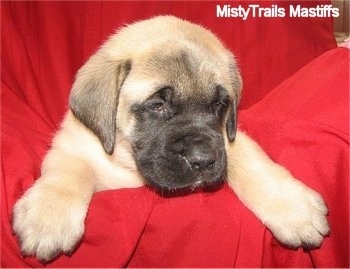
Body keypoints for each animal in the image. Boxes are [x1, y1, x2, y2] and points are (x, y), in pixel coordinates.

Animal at [12, 15, 330, 262]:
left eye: (220, 104)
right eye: (157, 105)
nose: (202, 161)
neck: (129, 166)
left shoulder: (227, 138)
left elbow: (251, 161)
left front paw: (293, 206)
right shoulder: (70, 147)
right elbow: (67, 174)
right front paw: (48, 219)